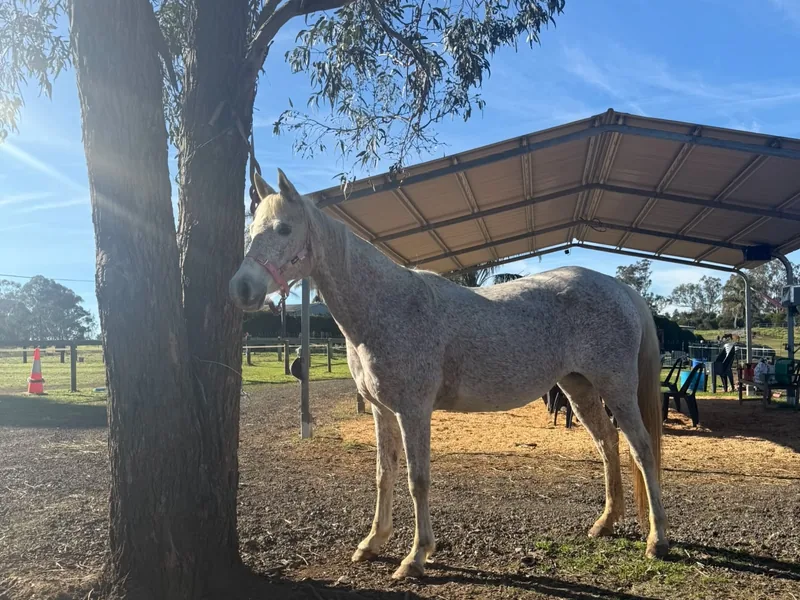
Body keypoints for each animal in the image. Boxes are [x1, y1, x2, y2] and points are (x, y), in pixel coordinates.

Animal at [229, 169, 668, 580]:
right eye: (251, 230)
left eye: (284, 229)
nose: (242, 289)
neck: (387, 306)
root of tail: (620, 289)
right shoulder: (381, 411)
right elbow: (383, 474)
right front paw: (372, 542)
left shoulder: (413, 410)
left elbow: (417, 479)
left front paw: (415, 557)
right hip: (579, 387)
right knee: (608, 443)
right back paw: (605, 523)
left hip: (616, 387)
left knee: (642, 448)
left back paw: (657, 540)